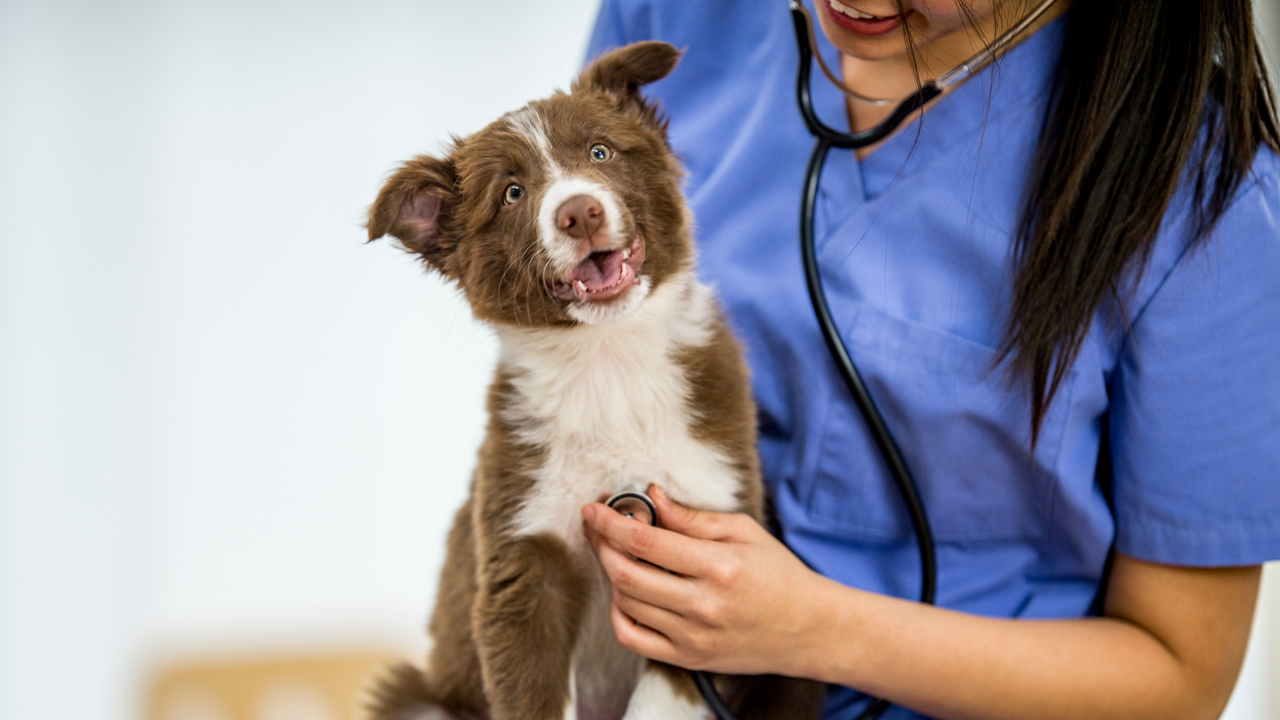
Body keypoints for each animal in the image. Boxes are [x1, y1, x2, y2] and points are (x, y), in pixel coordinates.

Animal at [366, 40, 824, 717]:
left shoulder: (700, 547)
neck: (607, 362)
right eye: (512, 193)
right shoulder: (526, 559)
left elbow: (664, 696)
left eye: (601, 152)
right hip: (422, 698)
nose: (579, 212)